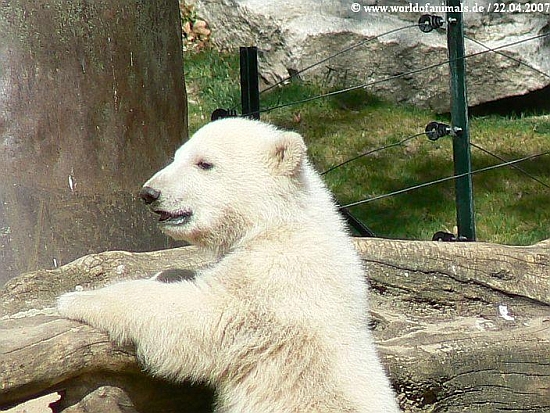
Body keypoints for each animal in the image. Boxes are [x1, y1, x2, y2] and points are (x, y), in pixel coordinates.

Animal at [57, 118, 400, 413]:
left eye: (204, 163)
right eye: (177, 156)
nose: (150, 193)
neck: (280, 220)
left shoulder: (274, 278)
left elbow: (198, 315)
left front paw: (75, 299)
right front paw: (169, 272)